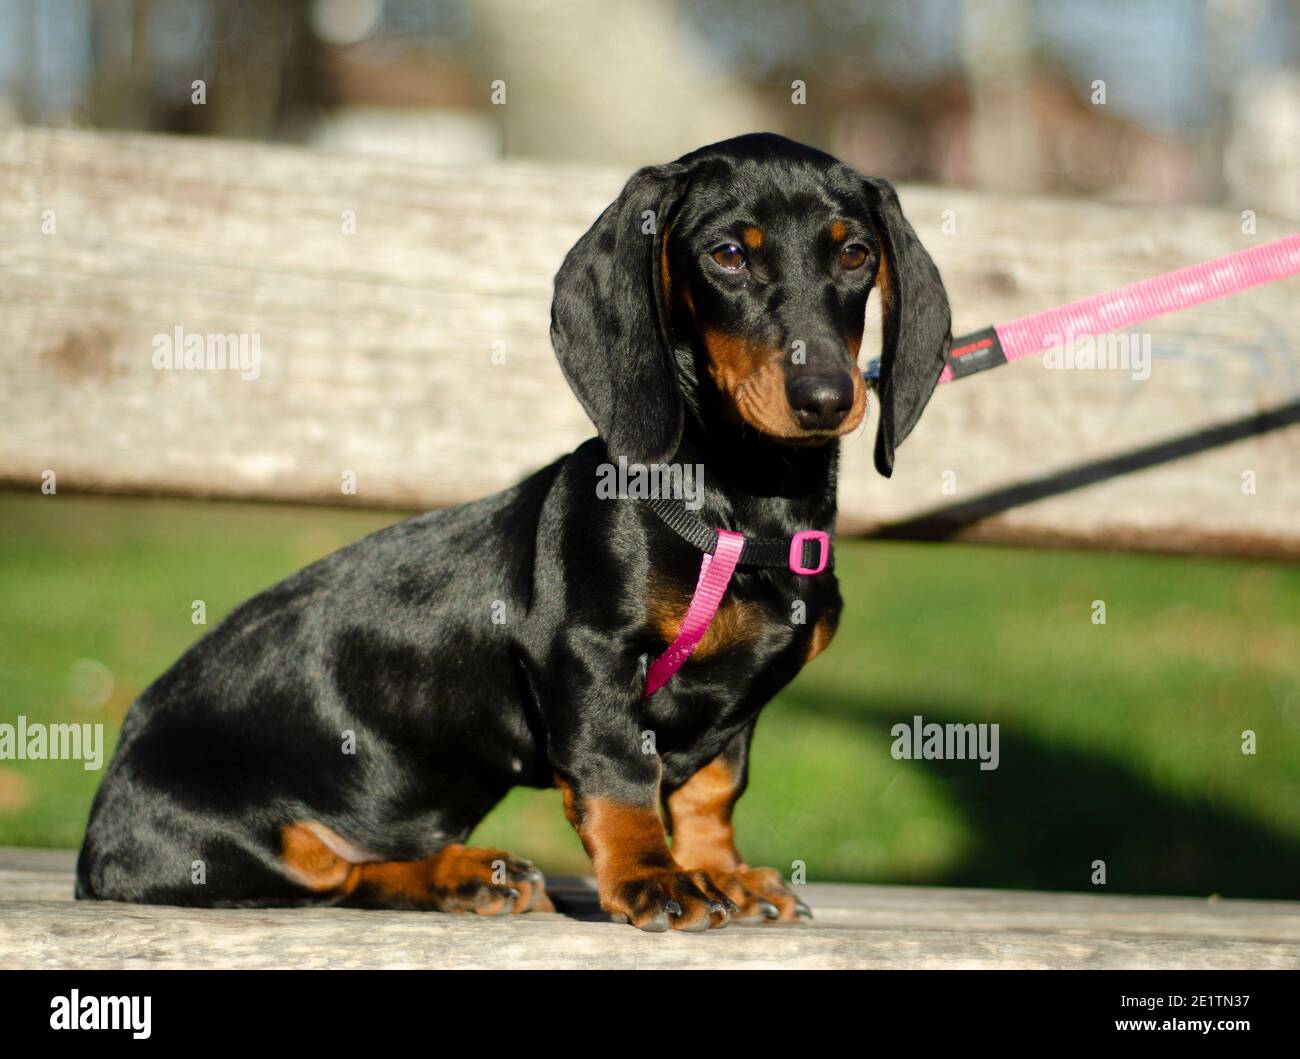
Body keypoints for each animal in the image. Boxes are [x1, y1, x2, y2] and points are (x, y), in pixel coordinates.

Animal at [76, 134, 951, 935]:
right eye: (729, 254)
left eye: (857, 254)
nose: (826, 395)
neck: (744, 510)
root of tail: (96, 836)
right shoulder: (586, 656)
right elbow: (620, 778)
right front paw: (653, 876)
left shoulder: (737, 705)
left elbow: (710, 791)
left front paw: (723, 872)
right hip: (234, 840)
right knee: (332, 875)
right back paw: (458, 875)